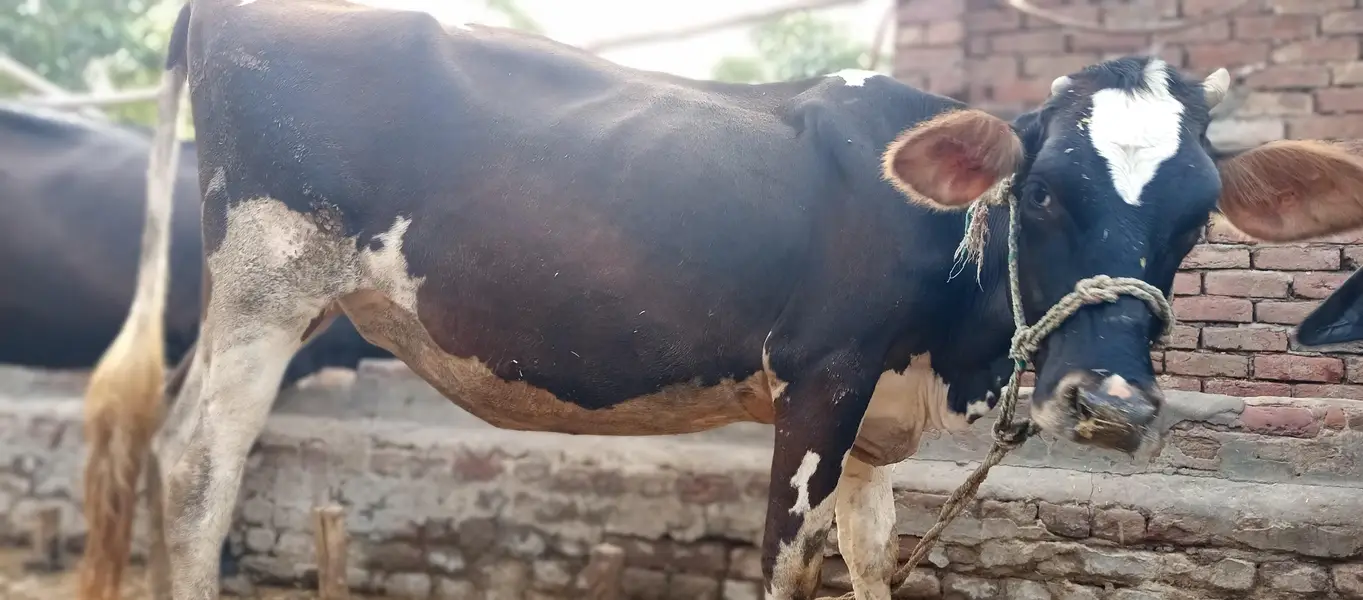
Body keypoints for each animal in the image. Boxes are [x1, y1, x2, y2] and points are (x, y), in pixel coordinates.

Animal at [79, 1, 1363, 599]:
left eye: (1195, 214)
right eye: (1041, 193)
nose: (1110, 402)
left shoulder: (876, 430)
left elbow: (870, 564)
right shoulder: (821, 379)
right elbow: (786, 565)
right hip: (267, 279)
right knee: (197, 467)